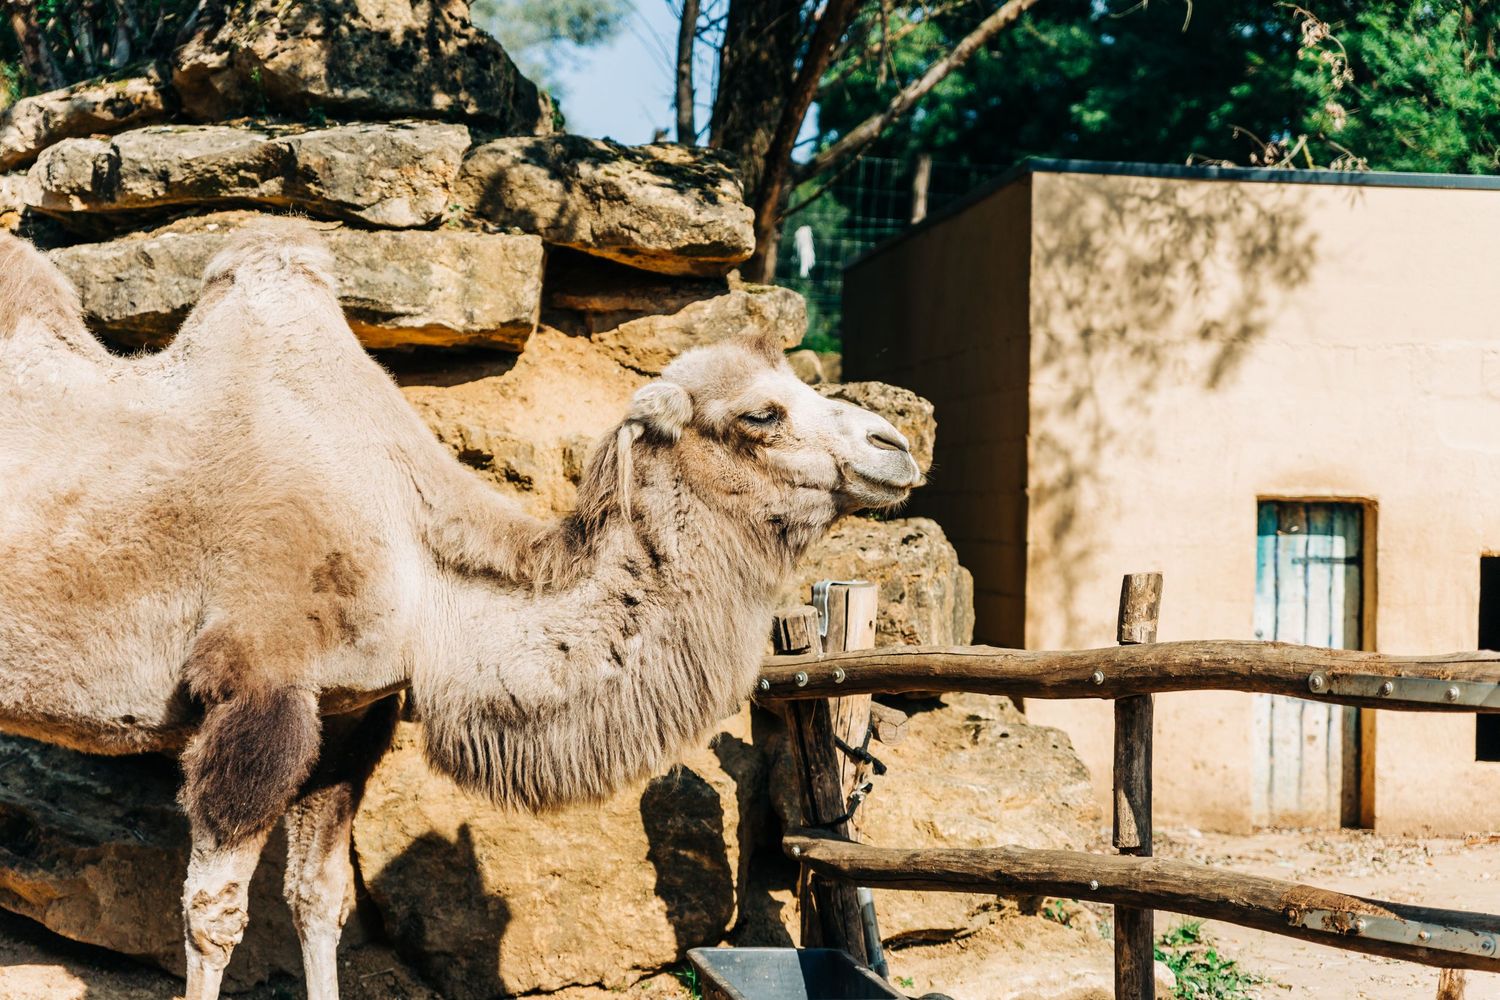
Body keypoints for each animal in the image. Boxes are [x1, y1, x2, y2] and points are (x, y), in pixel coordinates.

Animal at [0, 221, 922, 1000]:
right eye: (760, 413)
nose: (898, 447)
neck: (416, 554)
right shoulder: (258, 686)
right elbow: (213, 916)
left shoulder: (353, 708)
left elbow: (319, 899)